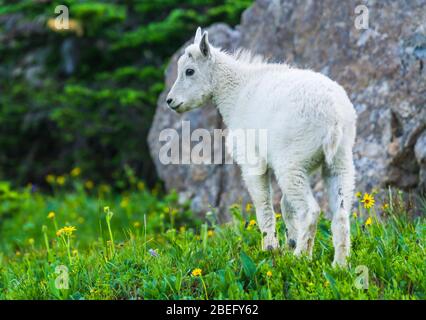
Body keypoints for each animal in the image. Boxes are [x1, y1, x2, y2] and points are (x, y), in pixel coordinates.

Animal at [166, 28, 356, 268]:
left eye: (189, 71)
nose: (170, 101)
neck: (236, 93)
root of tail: (334, 119)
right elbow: (285, 206)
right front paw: (288, 244)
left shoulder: (252, 160)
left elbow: (263, 203)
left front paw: (271, 249)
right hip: (339, 161)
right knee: (340, 213)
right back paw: (339, 266)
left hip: (291, 162)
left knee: (310, 210)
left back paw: (300, 259)